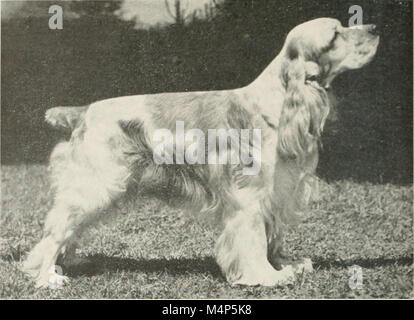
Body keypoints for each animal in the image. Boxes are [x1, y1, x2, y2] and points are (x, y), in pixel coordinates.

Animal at [22, 17, 378, 288]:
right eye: (335, 34)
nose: (374, 27)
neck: (277, 101)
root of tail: (84, 111)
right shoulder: (248, 196)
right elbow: (253, 238)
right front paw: (265, 276)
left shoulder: (277, 191)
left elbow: (273, 235)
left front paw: (285, 264)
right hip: (98, 183)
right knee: (56, 231)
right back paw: (48, 277)